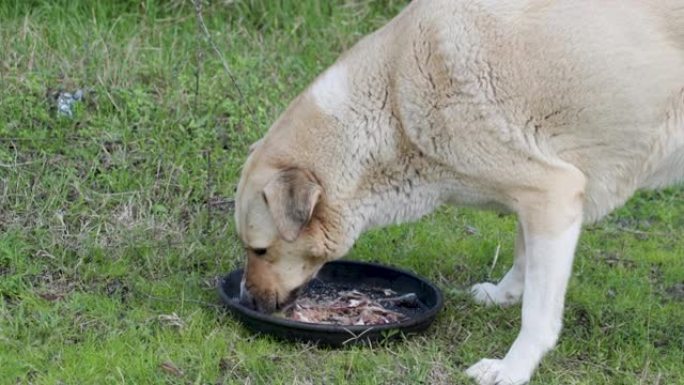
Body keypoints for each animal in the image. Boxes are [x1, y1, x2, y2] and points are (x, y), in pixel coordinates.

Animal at [235, 1, 684, 382]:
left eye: (261, 250)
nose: (246, 301)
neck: (394, 105)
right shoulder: (532, 199)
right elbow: (523, 256)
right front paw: (503, 295)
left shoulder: (553, 195)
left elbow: (537, 313)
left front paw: (512, 370)